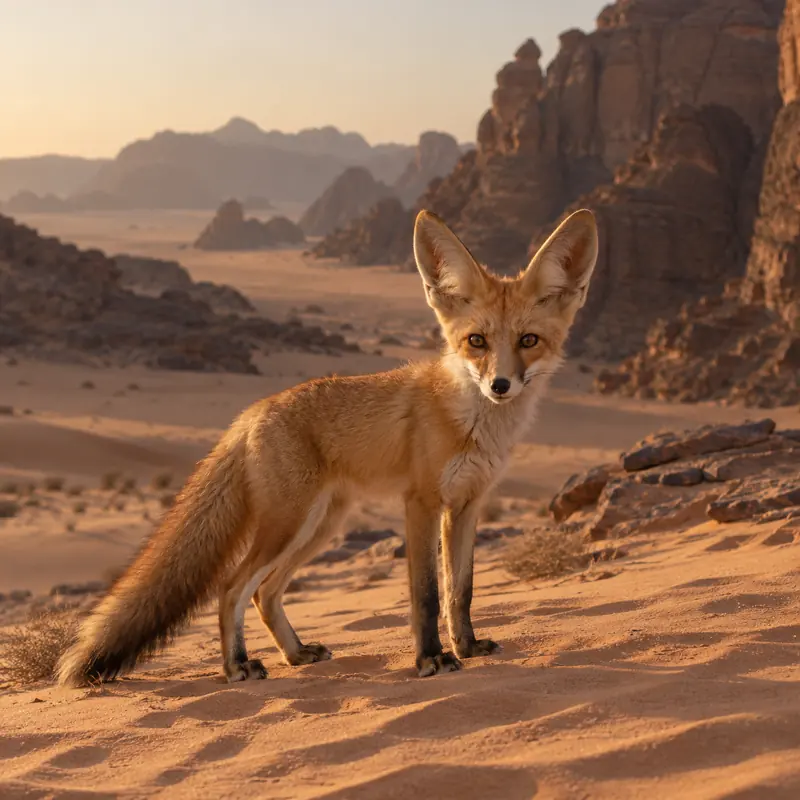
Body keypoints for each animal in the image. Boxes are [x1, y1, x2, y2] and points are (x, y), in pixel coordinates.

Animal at [56, 207, 598, 687]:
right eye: (477, 342)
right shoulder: (421, 502)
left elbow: (459, 590)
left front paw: (466, 647)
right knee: (232, 588)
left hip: (320, 526)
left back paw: (295, 654)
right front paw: (430, 660)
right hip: (290, 524)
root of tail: (252, 412)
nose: (500, 385)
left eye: (529, 340)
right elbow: (426, 593)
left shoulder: (468, 504)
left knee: (265, 593)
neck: (471, 422)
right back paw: (236, 668)